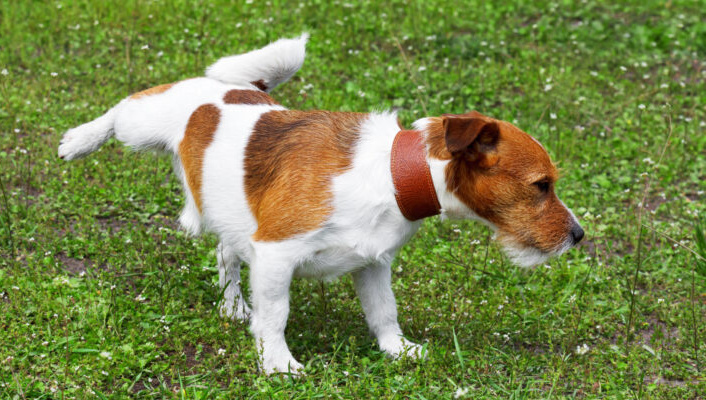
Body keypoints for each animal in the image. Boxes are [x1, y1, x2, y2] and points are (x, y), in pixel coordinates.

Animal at [57, 34, 584, 376]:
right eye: (541, 186)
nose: (579, 235)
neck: (391, 173)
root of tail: (230, 87)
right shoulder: (275, 254)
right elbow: (275, 316)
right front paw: (278, 363)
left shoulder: (372, 265)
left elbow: (384, 313)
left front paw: (397, 350)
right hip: (141, 124)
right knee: (122, 107)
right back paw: (78, 140)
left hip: (230, 213)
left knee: (226, 254)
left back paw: (232, 304)